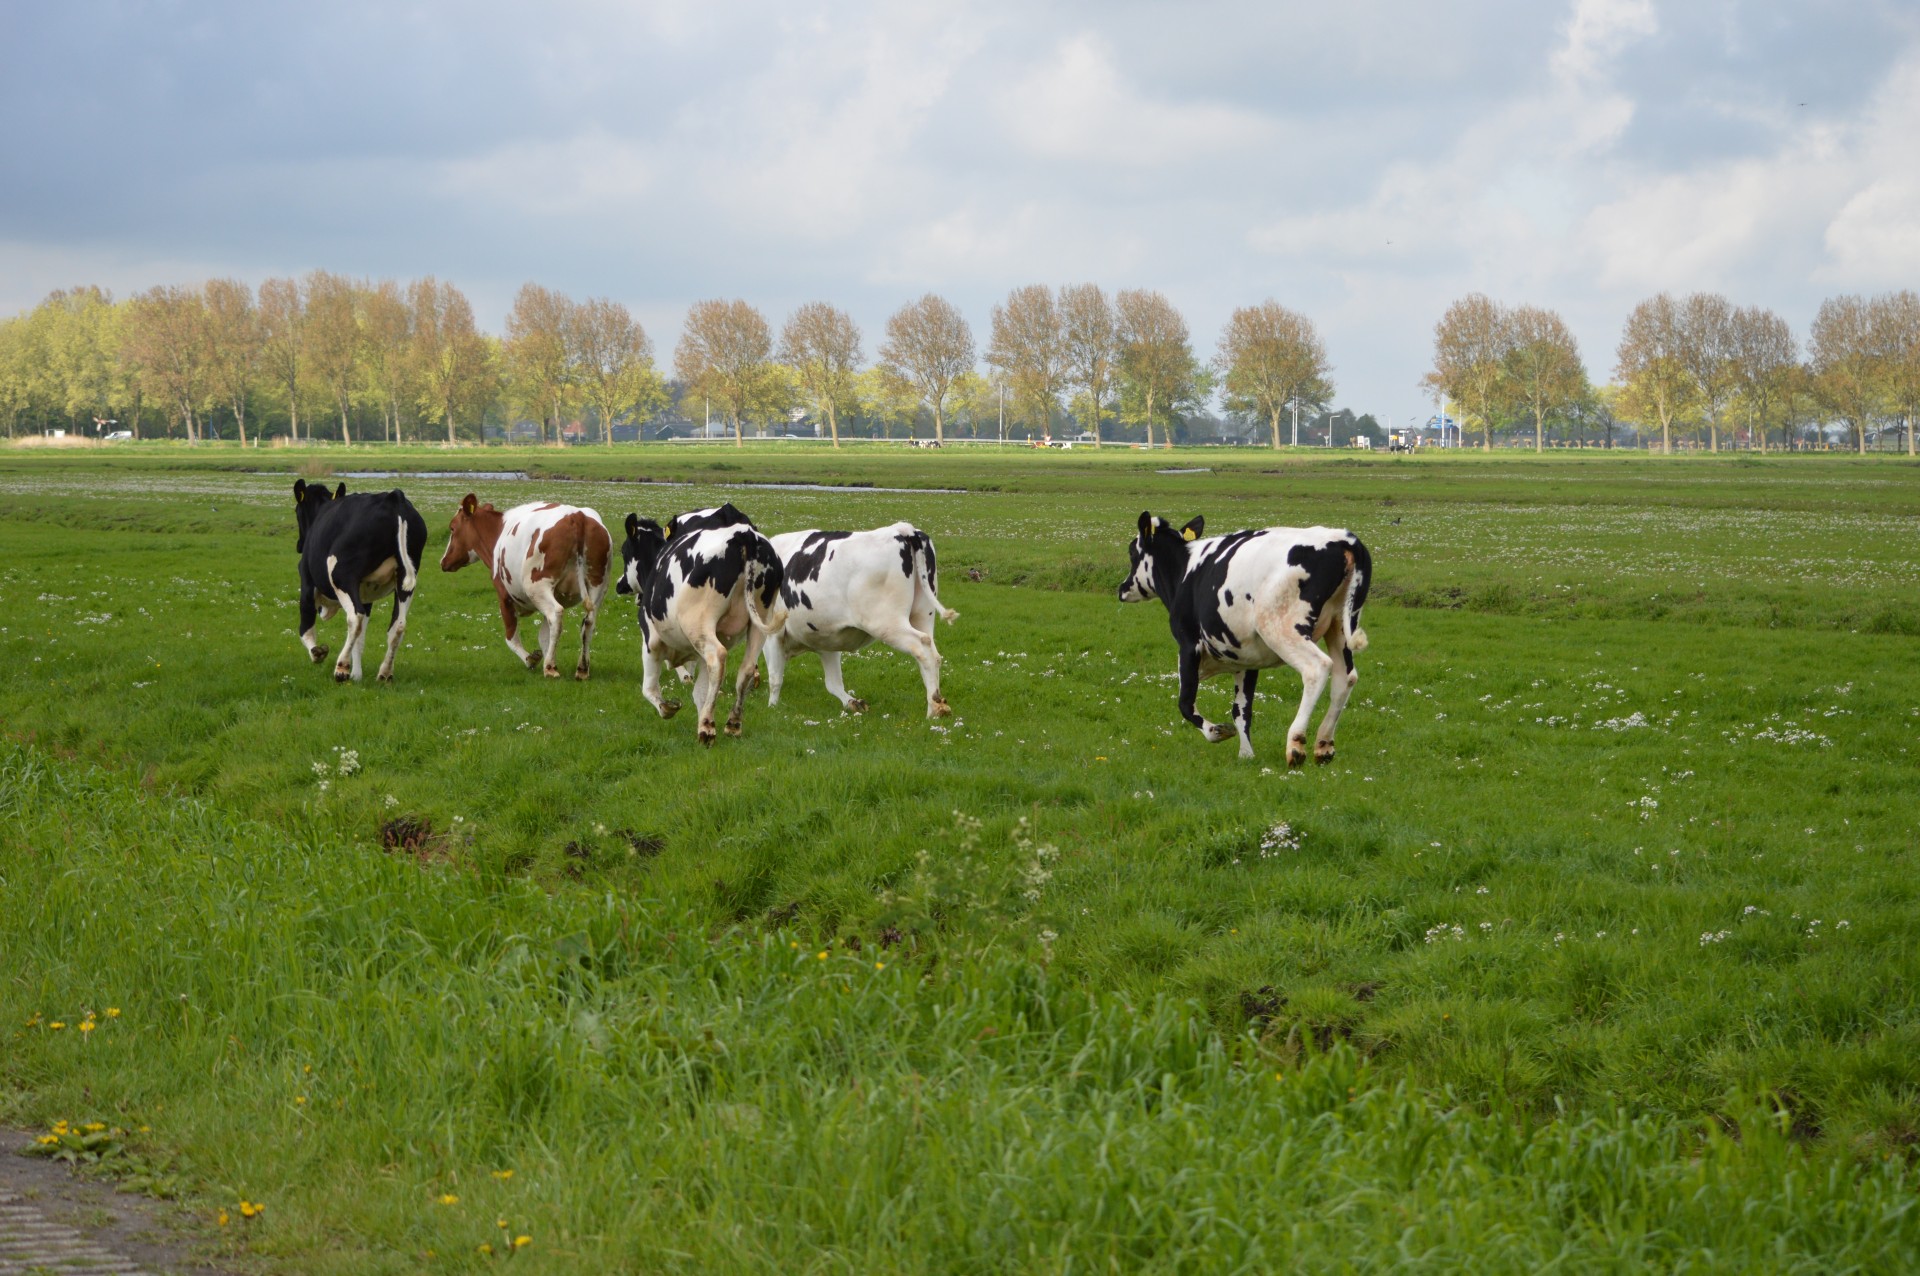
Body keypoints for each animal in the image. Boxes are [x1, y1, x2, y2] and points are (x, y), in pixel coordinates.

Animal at [291, 477, 428, 683]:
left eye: (296, 510)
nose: (299, 545)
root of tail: (393, 497)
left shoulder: (307, 583)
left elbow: (305, 628)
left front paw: (317, 654)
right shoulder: (366, 594)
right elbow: (361, 638)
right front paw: (356, 675)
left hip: (342, 575)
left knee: (355, 617)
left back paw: (341, 668)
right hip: (405, 580)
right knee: (397, 625)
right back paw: (385, 673)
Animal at [439, 495, 610, 675]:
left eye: (452, 528)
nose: (443, 561)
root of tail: (576, 515)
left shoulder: (504, 596)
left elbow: (511, 638)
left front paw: (531, 659)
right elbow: (544, 636)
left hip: (537, 586)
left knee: (556, 614)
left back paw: (550, 668)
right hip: (597, 586)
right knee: (588, 622)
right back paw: (582, 668)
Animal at [618, 506, 791, 748]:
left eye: (624, 551)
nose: (620, 584)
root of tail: (745, 535)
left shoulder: (651, 641)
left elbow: (649, 688)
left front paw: (668, 708)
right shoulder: (697, 652)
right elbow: (700, 692)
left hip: (698, 624)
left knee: (718, 656)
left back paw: (707, 727)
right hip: (759, 621)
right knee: (746, 667)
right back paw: (733, 723)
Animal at [764, 521, 960, 717]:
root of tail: (902, 528)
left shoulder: (774, 632)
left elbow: (775, 677)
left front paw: (773, 708)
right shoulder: (825, 638)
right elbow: (833, 683)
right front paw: (853, 703)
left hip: (887, 622)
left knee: (923, 648)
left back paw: (934, 710)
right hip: (923, 614)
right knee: (931, 653)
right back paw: (938, 704)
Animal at [1121, 510, 1374, 767]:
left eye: (1132, 552)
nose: (1122, 589)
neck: (1186, 571)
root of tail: (1344, 538)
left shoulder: (1188, 645)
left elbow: (1186, 701)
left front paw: (1216, 732)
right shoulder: (1246, 659)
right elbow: (1241, 709)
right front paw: (1246, 755)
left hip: (1282, 627)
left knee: (1317, 667)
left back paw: (1296, 744)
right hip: (1340, 626)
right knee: (1345, 677)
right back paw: (1323, 746)